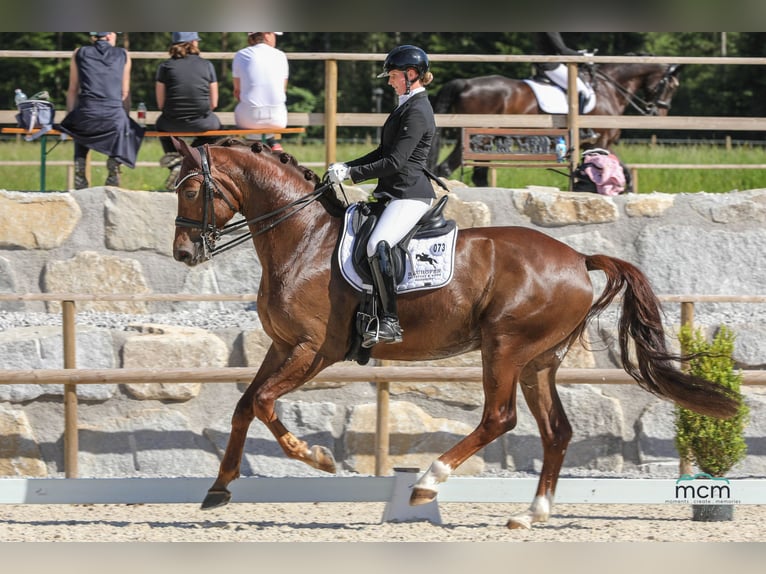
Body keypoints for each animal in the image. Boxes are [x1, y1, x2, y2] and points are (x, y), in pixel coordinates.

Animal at [172, 136, 736, 532]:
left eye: (193, 189)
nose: (183, 253)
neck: (304, 239)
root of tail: (578, 258)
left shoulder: (314, 350)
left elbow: (264, 402)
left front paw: (317, 457)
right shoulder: (283, 345)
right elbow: (244, 404)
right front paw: (219, 488)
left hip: (504, 348)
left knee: (499, 418)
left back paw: (428, 482)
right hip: (537, 361)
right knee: (556, 431)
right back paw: (530, 514)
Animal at [428, 61, 688, 187]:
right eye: (671, 86)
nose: (657, 112)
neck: (609, 89)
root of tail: (465, 83)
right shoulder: (603, 142)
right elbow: (623, 172)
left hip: (485, 139)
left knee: (478, 175)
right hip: (479, 137)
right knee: (446, 169)